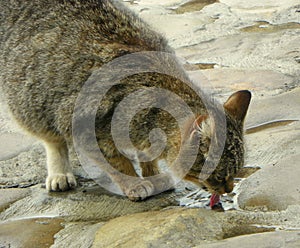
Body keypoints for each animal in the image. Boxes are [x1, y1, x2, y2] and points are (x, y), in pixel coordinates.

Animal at [0, 0, 251, 206]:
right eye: (220, 176)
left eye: (236, 172)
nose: (228, 189)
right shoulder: (85, 127)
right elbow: (117, 163)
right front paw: (135, 183)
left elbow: (148, 155)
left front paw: (153, 175)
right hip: (30, 100)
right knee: (51, 140)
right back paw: (59, 174)